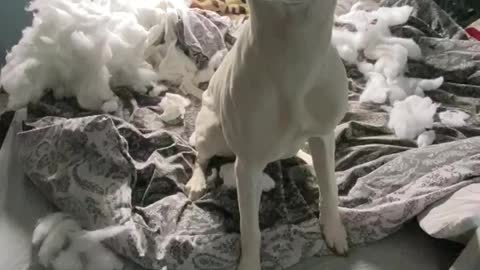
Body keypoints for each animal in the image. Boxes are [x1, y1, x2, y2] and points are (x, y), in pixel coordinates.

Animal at [186, 1, 346, 268]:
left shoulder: (323, 135)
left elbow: (328, 189)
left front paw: (334, 230)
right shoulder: (247, 166)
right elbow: (250, 229)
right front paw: (250, 263)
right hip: (212, 132)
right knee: (200, 157)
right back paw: (197, 182)